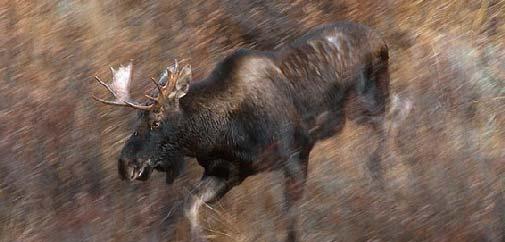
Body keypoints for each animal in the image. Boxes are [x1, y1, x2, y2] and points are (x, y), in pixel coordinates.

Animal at [91, 21, 390, 241]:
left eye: (155, 121)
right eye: (136, 120)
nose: (125, 164)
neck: (220, 132)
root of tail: (381, 40)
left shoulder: (296, 154)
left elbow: (291, 220)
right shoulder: (228, 171)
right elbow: (190, 204)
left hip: (368, 102)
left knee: (391, 122)